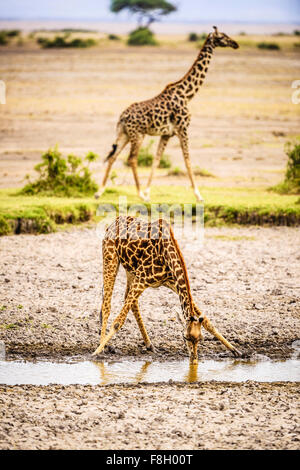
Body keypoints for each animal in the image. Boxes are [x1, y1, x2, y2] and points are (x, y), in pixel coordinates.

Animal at [91, 217, 241, 364]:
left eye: (201, 339)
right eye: (185, 337)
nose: (194, 360)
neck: (166, 255)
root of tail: (112, 224)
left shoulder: (172, 283)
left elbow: (207, 322)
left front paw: (235, 350)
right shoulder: (142, 279)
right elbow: (118, 322)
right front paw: (96, 352)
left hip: (130, 270)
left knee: (131, 302)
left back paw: (149, 345)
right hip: (110, 258)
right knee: (107, 306)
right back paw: (103, 346)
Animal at [96, 26, 239, 202]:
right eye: (222, 37)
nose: (236, 44)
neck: (187, 94)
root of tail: (122, 117)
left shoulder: (167, 134)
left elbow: (156, 160)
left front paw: (148, 191)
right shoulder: (183, 129)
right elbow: (187, 159)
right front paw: (198, 195)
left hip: (124, 134)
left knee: (113, 156)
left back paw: (99, 192)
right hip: (138, 135)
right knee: (132, 159)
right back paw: (139, 194)